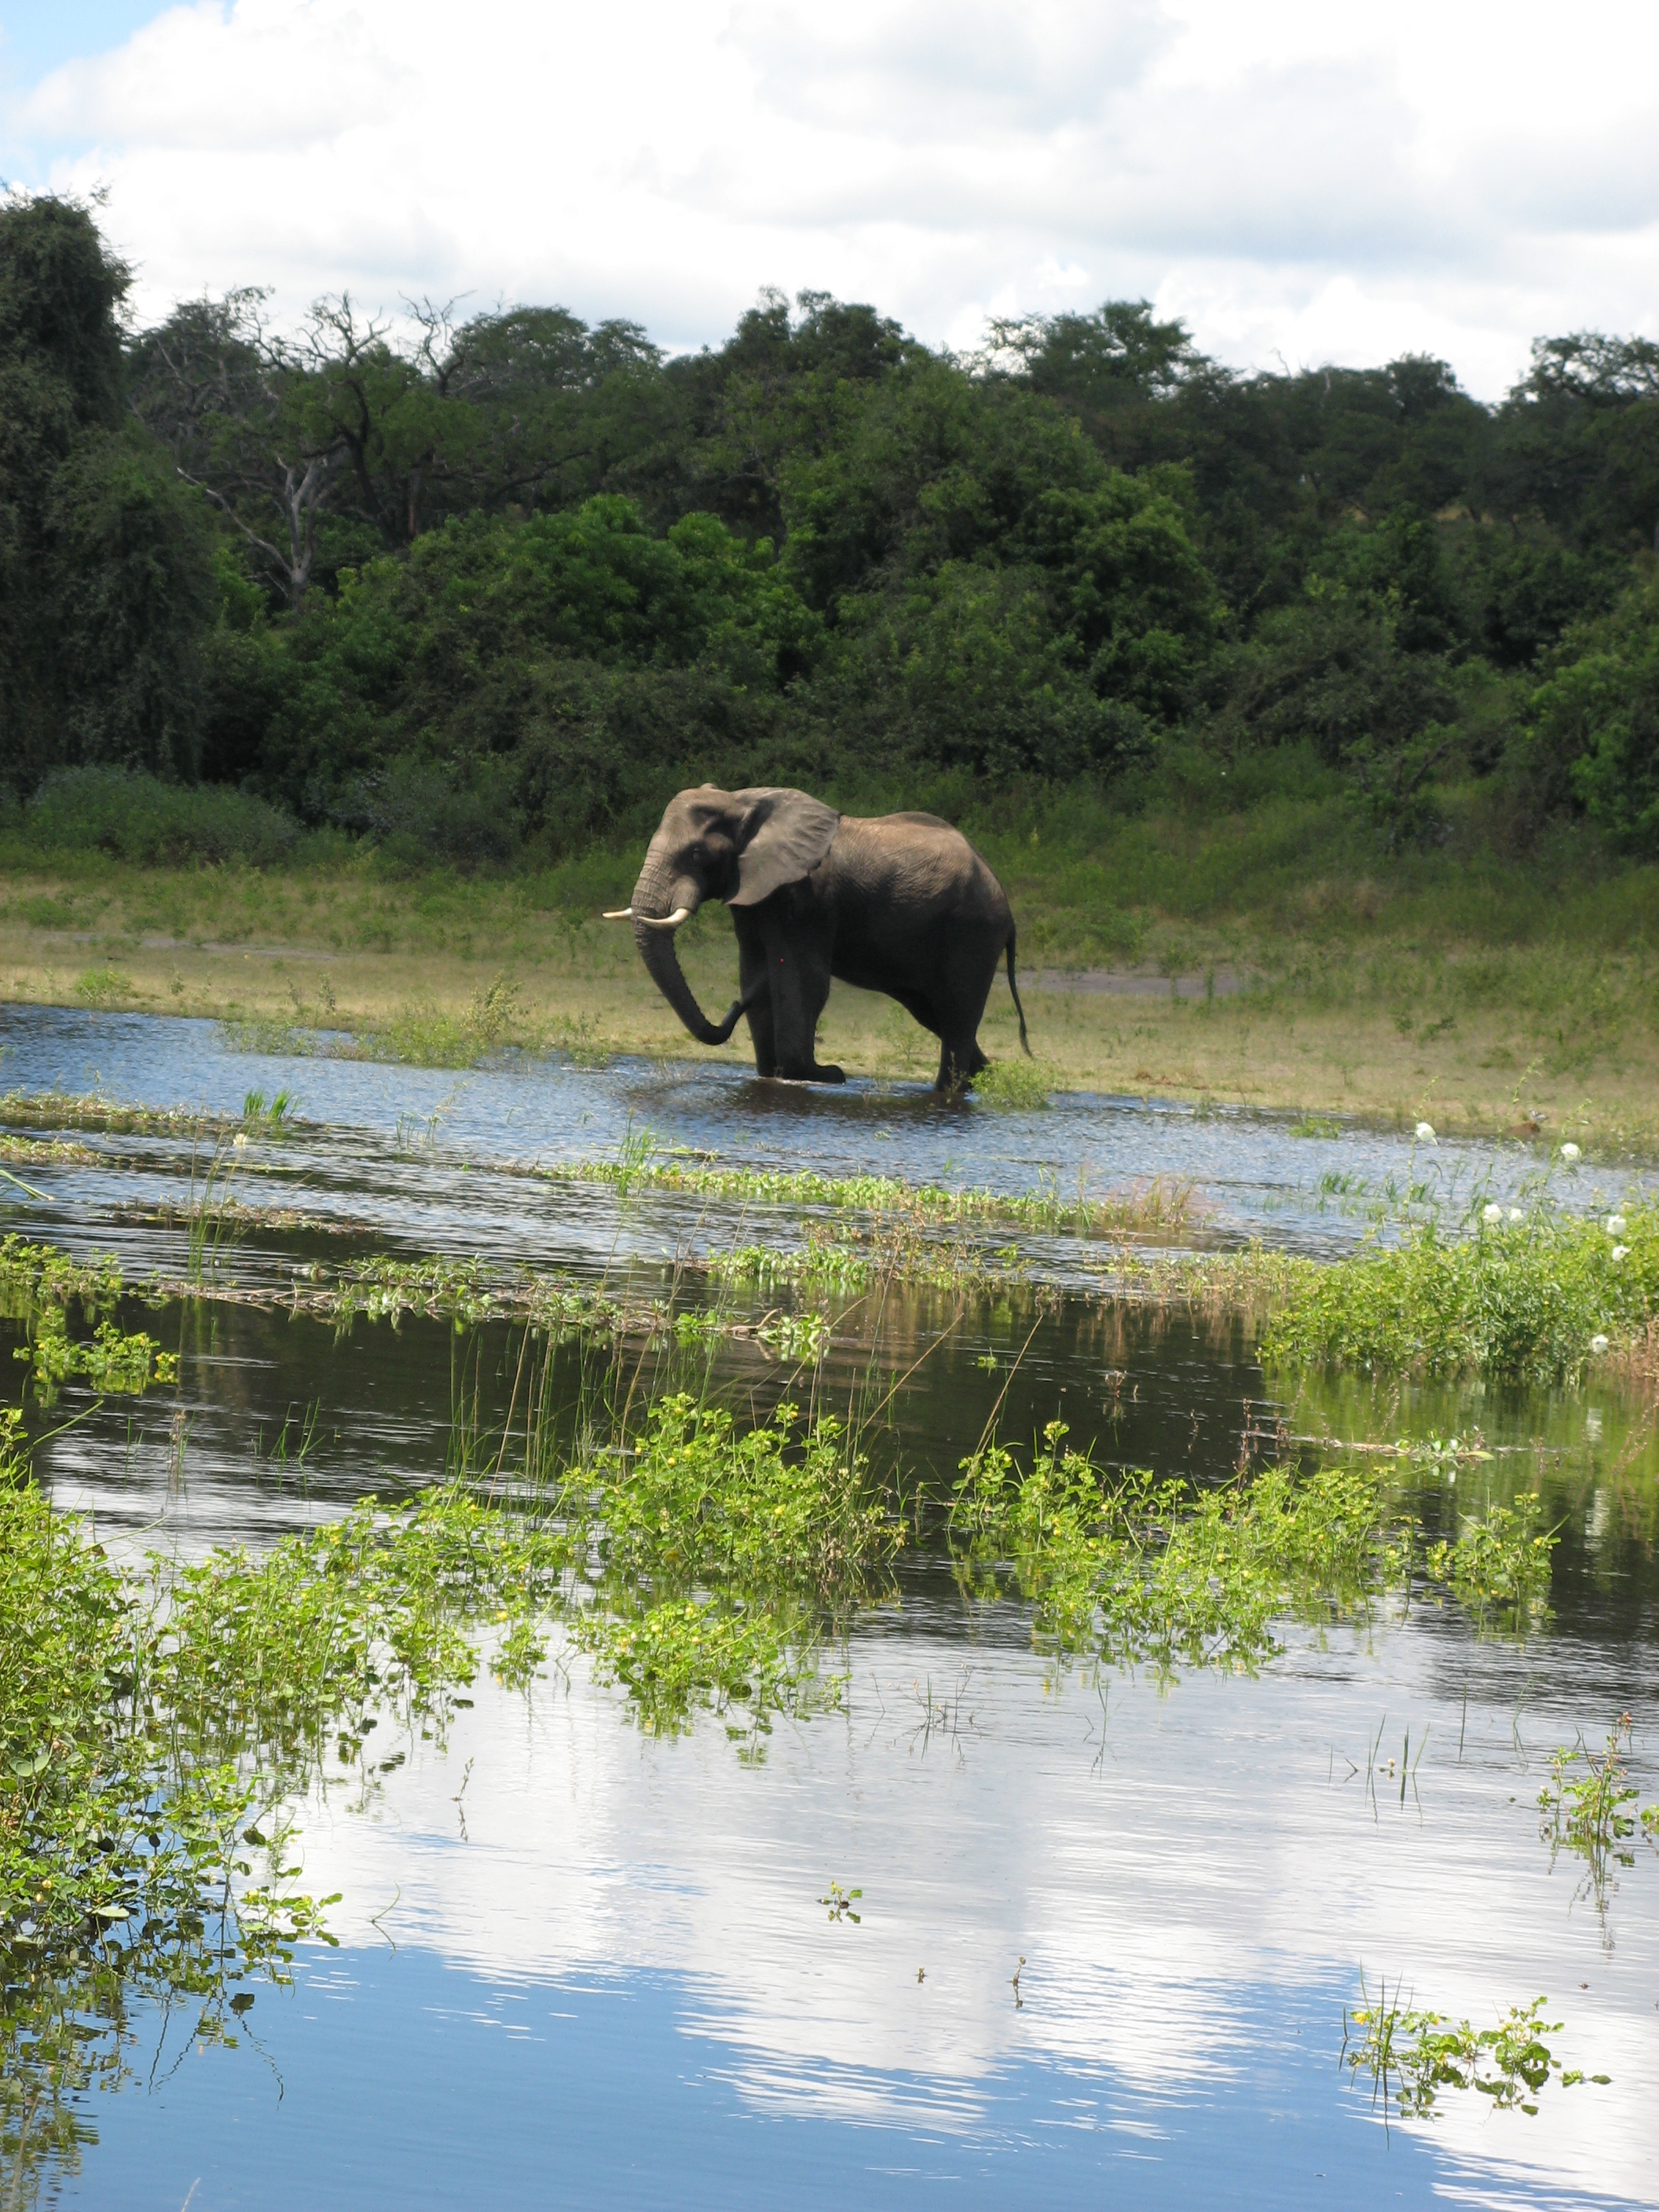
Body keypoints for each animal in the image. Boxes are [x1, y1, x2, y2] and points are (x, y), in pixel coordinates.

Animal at [606, 787, 1035, 1088]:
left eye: (696, 855)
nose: (734, 1005)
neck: (740, 801)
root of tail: (1006, 903)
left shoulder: (805, 899)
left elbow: (803, 981)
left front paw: (820, 1075)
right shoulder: (754, 895)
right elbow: (756, 972)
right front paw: (774, 1073)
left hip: (973, 932)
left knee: (957, 1012)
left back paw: (949, 1089)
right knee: (936, 1013)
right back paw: (981, 1076)